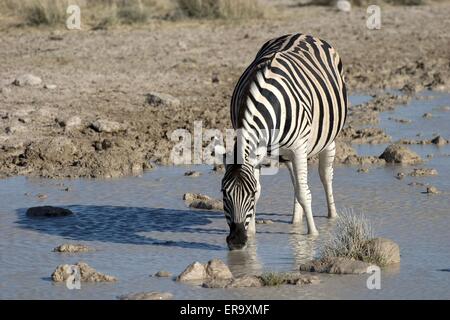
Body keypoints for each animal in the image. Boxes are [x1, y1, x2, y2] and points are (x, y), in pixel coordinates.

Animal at [221, 33, 348, 251]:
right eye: (223, 193)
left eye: (250, 194)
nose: (237, 241)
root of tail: (302, 34)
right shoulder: (260, 153)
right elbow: (287, 188)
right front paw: (252, 236)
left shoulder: (298, 148)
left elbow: (305, 193)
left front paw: (312, 236)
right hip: (287, 152)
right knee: (296, 181)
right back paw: (296, 219)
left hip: (327, 138)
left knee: (325, 175)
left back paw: (332, 216)